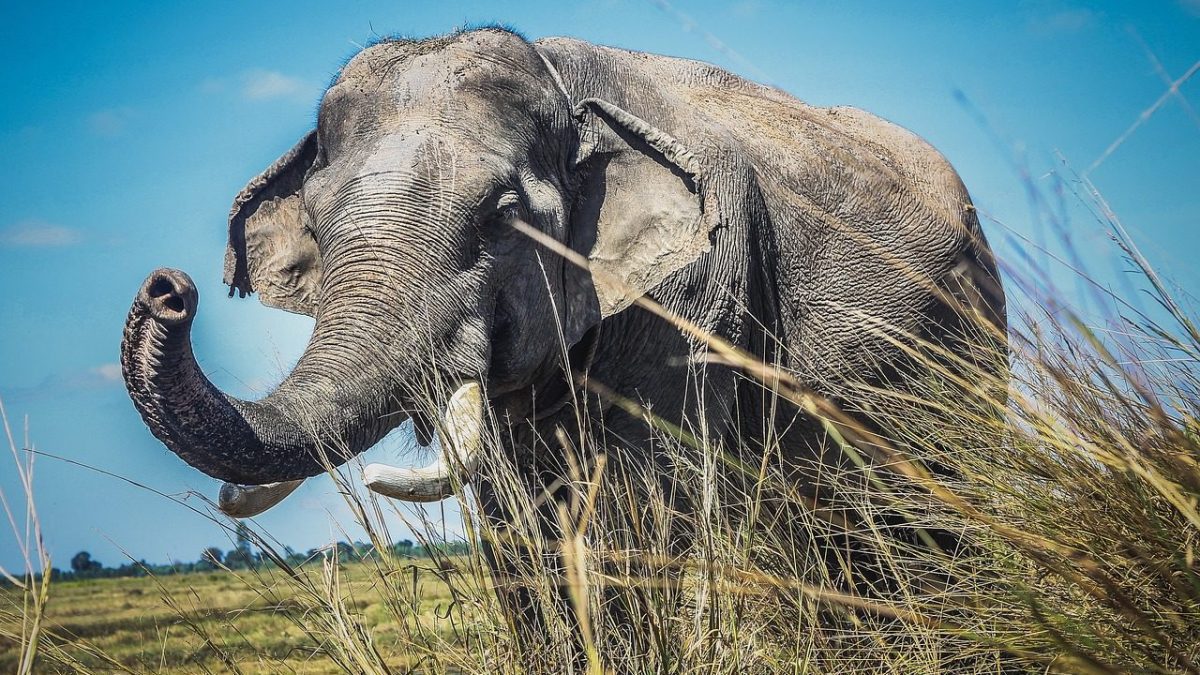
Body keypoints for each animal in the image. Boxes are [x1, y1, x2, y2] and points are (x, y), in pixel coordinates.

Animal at [121, 27, 1005, 666]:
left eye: (500, 218)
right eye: (316, 219)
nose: (170, 288)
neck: (565, 87)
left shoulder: (696, 288)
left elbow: (637, 500)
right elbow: (512, 513)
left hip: (967, 347)